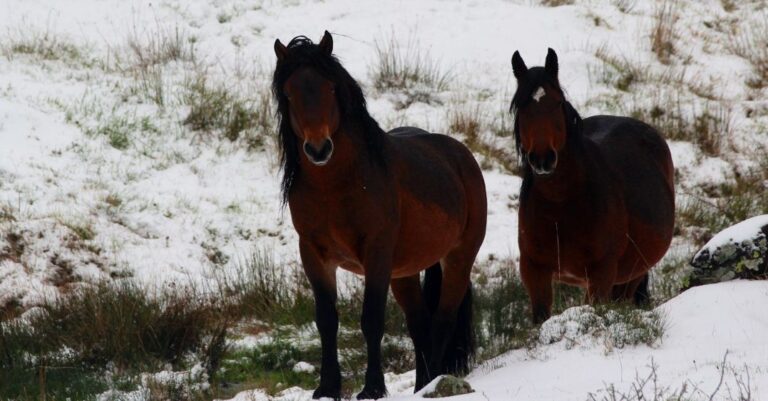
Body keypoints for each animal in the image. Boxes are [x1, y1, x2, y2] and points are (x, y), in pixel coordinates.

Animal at [272, 31, 487, 399]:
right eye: (289, 93)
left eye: (331, 88)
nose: (318, 149)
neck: (335, 185)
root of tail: (461, 156)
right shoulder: (314, 254)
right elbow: (326, 320)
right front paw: (327, 387)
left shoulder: (376, 252)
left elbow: (371, 319)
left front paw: (372, 387)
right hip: (404, 272)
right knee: (420, 324)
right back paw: (421, 384)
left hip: (458, 258)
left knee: (442, 320)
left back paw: (433, 382)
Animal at [510, 48, 675, 324]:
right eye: (521, 108)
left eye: (557, 103)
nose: (543, 159)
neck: (561, 207)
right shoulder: (535, 270)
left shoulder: (601, 273)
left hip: (630, 274)